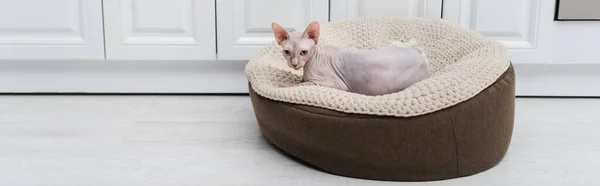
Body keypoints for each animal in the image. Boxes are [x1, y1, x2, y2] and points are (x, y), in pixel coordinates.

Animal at [272, 21, 432, 96]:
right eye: (287, 52)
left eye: (303, 52)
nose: (294, 64)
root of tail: (422, 58)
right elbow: (301, 81)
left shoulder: (330, 85)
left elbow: (302, 84)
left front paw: (285, 85)